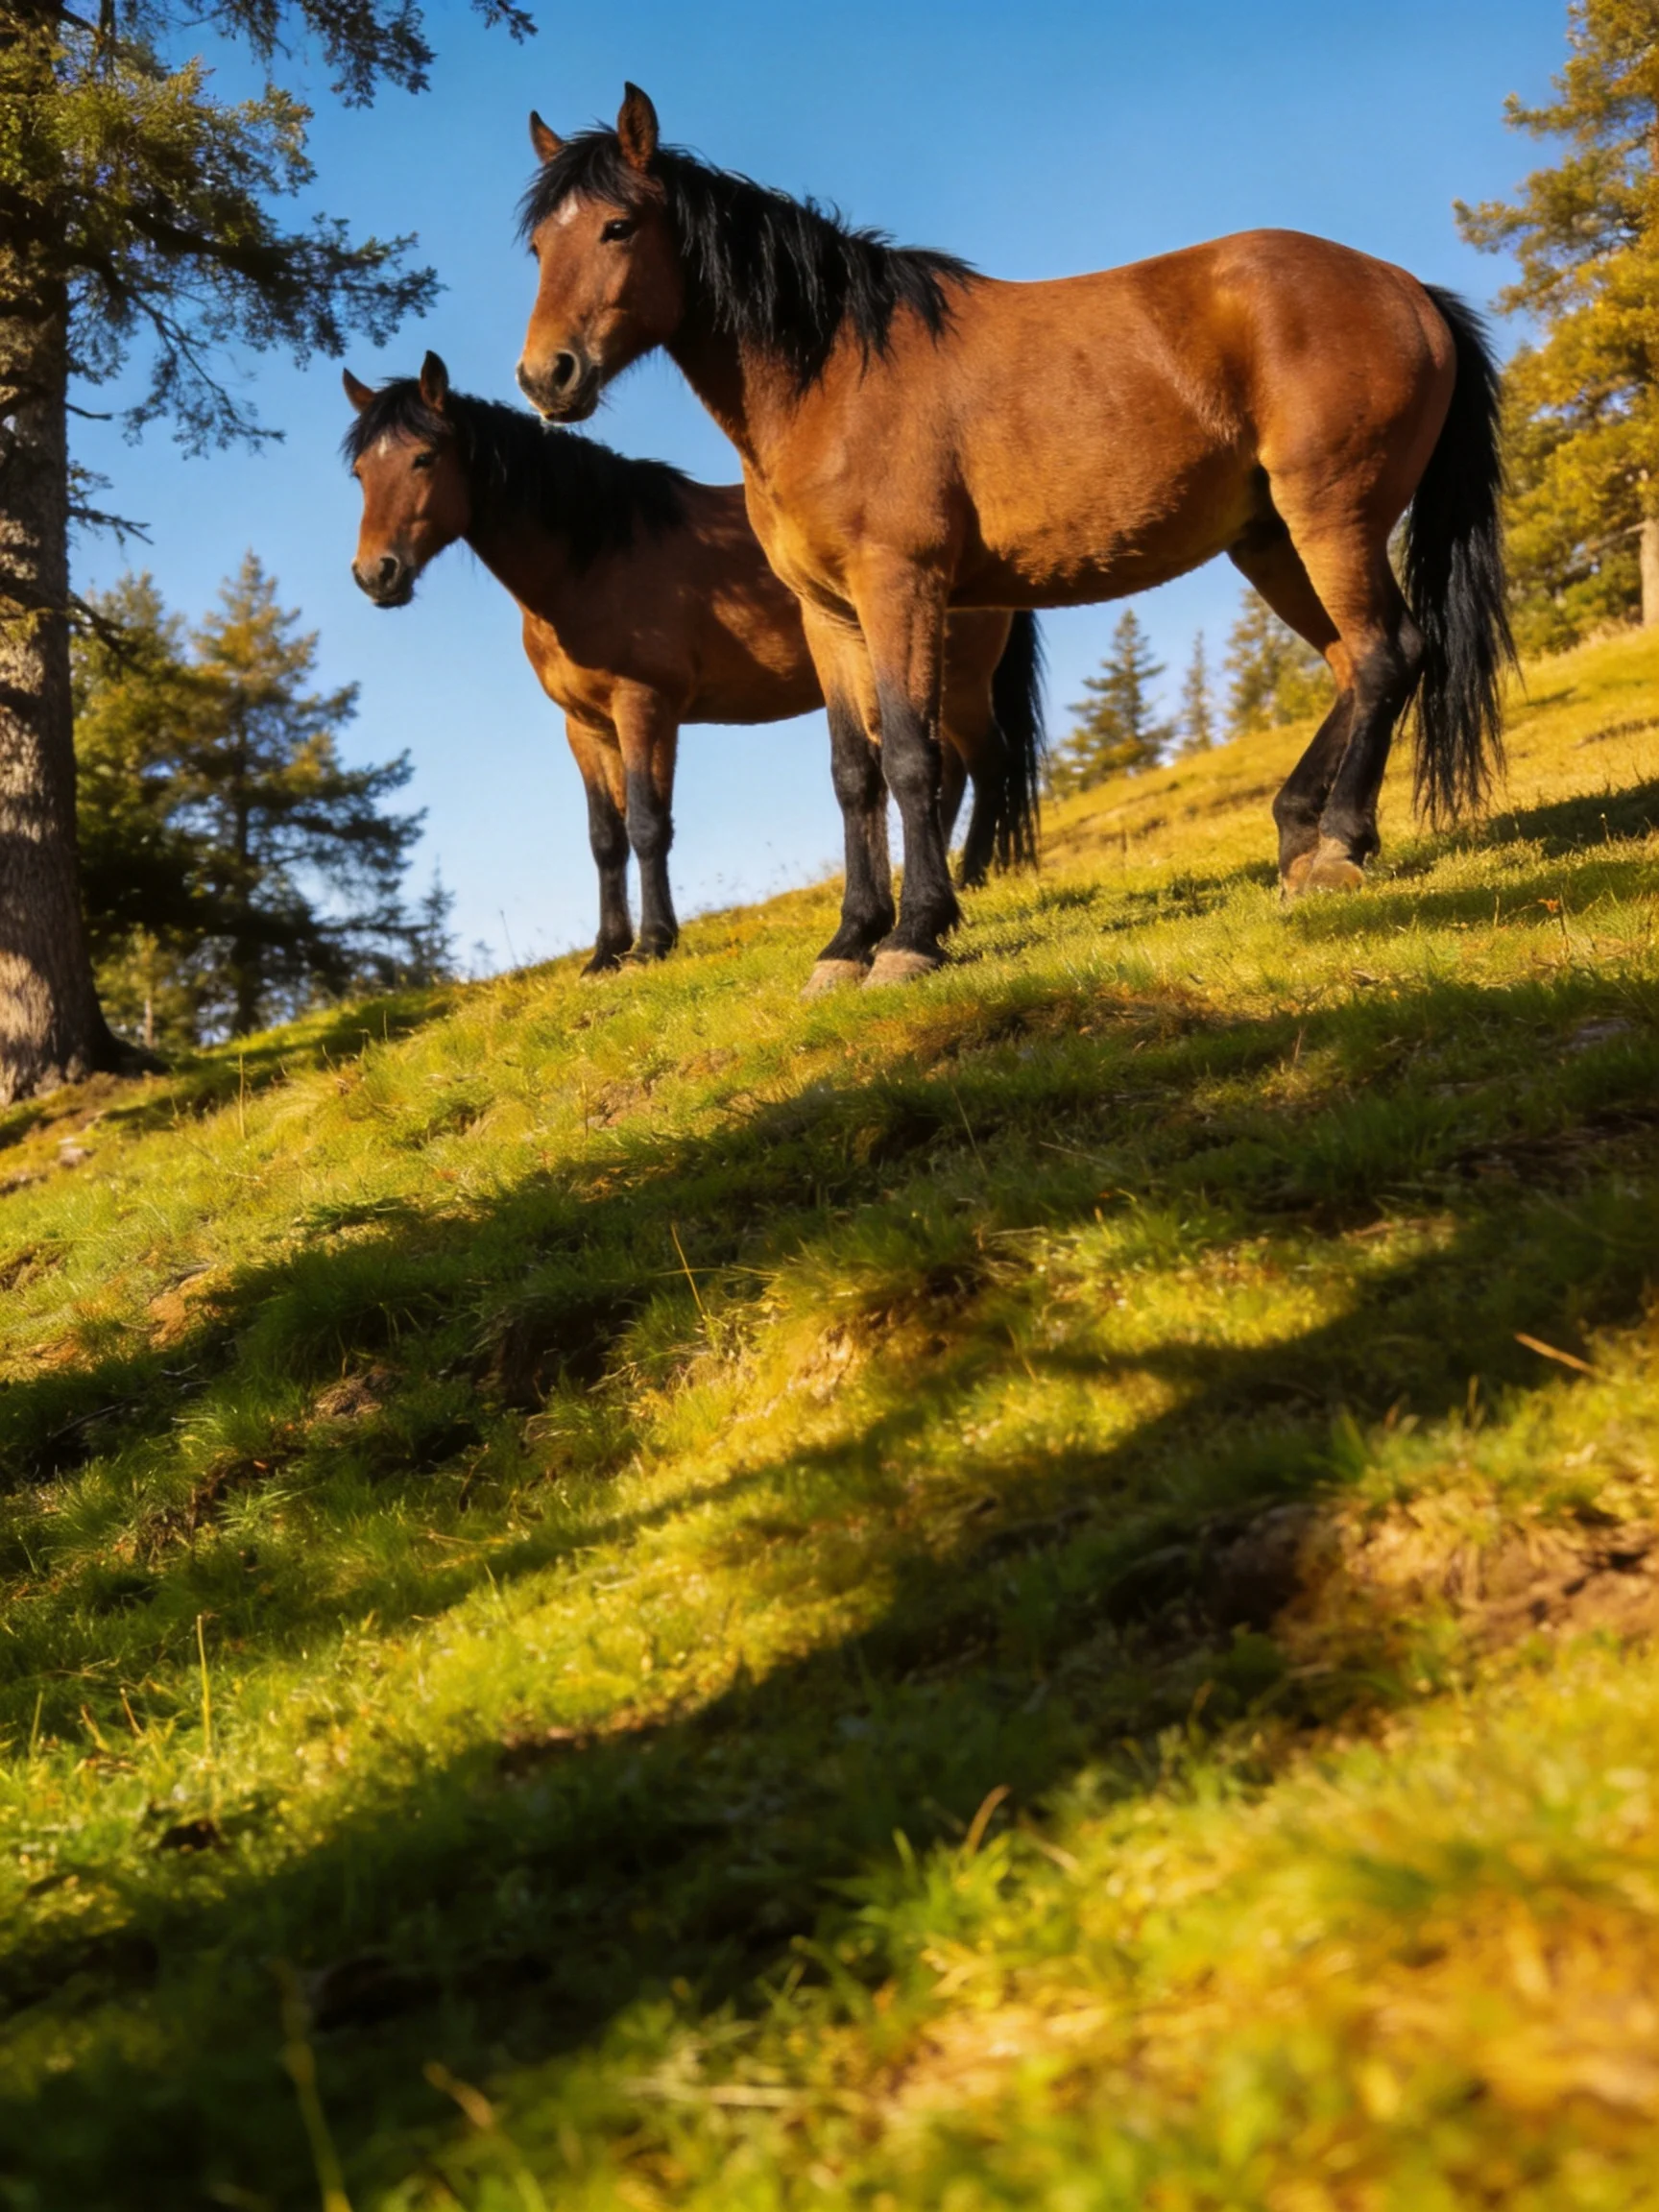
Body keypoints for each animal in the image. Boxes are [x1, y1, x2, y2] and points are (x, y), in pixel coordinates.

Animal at [343, 352, 1044, 982]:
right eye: (359, 472)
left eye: (424, 458)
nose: (376, 574)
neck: (593, 560)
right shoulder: (585, 726)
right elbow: (605, 838)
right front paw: (605, 953)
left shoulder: (644, 708)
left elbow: (648, 824)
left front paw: (653, 943)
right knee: (956, 768)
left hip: (954, 677)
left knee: (984, 762)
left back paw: (969, 878)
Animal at [515, 87, 1513, 990]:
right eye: (537, 246)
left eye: (617, 227)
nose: (546, 376)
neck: (835, 375)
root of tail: (1406, 289)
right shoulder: (827, 616)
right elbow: (852, 771)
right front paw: (848, 942)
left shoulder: (900, 588)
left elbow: (912, 758)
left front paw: (914, 936)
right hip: (1270, 543)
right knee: (1351, 663)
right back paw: (1303, 835)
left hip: (1331, 518)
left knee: (1388, 653)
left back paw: (1338, 846)